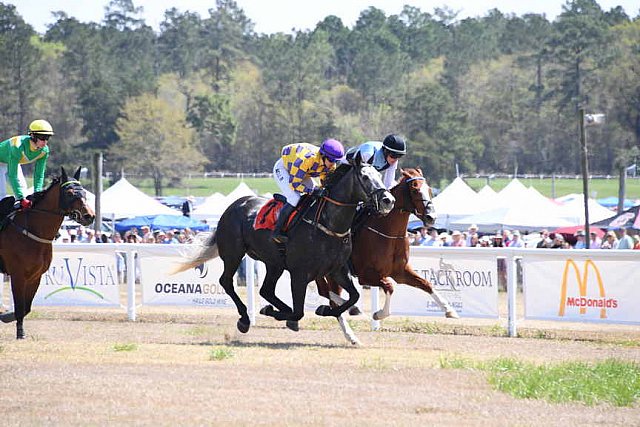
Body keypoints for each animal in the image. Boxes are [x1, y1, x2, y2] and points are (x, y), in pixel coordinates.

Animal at [0, 166, 95, 340]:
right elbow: (19, 306)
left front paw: (6, 317)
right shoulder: (18, 275)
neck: (32, 229)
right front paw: (19, 333)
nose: (89, 216)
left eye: (84, 192)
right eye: (69, 193)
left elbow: (26, 308)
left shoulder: (35, 276)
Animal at [172, 157, 398, 334]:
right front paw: (283, 314)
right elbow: (299, 311)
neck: (327, 224)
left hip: (274, 263)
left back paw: (271, 310)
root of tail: (234, 205)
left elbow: (353, 297)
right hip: (233, 254)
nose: (388, 200)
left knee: (266, 290)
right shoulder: (300, 273)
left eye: (379, 176)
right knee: (227, 282)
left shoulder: (337, 270)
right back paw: (245, 318)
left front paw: (324, 309)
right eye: (365, 177)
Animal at [316, 169, 458, 346]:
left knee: (330, 295)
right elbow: (389, 286)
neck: (388, 233)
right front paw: (378, 314)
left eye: (430, 190)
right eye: (415, 190)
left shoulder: (400, 272)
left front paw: (449, 310)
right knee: (326, 293)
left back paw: (351, 331)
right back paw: (352, 315)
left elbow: (426, 284)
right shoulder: (366, 276)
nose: (431, 217)